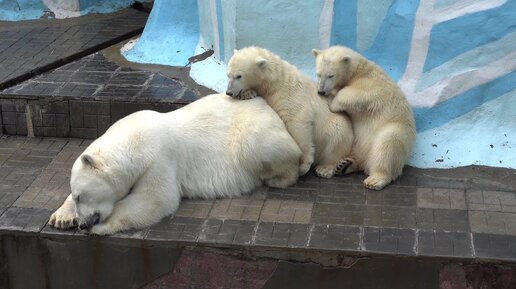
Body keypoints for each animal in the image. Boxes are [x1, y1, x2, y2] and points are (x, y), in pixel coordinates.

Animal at [47, 93, 302, 233]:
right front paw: (62, 217)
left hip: (252, 132)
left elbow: (155, 198)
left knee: (262, 148)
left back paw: (279, 178)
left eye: (81, 195)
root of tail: (264, 103)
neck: (134, 140)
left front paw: (101, 227)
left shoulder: (158, 159)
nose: (83, 224)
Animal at [226, 45, 354, 178]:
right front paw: (247, 93)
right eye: (228, 74)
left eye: (239, 76)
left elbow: (298, 122)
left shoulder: (291, 96)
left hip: (337, 126)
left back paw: (326, 169)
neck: (277, 82)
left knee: (337, 136)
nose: (228, 92)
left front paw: (303, 165)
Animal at [312, 45, 418, 189]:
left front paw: (332, 103)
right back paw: (344, 165)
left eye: (331, 75)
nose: (321, 91)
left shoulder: (371, 84)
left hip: (396, 129)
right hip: (356, 144)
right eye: (318, 74)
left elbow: (356, 94)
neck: (358, 71)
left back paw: (375, 180)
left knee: (388, 143)